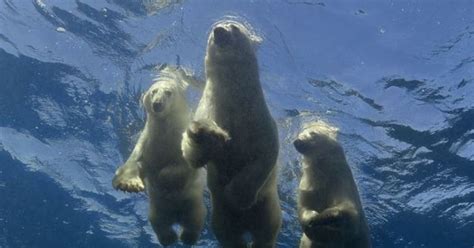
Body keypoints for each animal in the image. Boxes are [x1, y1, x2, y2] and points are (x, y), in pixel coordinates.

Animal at [113, 66, 207, 246]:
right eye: (153, 91)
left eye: (168, 92)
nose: (157, 103)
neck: (165, 131)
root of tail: (175, 217)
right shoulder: (147, 141)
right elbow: (136, 162)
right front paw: (129, 183)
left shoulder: (182, 141)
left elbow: (182, 167)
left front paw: (164, 176)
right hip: (156, 211)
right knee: (159, 223)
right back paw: (169, 238)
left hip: (192, 205)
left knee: (194, 220)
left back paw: (186, 237)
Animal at [181, 20, 282, 247]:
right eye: (213, 30)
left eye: (234, 26)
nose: (219, 31)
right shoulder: (208, 109)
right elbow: (194, 157)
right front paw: (206, 134)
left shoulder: (259, 120)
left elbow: (265, 155)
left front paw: (237, 195)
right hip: (219, 216)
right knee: (229, 235)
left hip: (268, 207)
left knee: (266, 231)